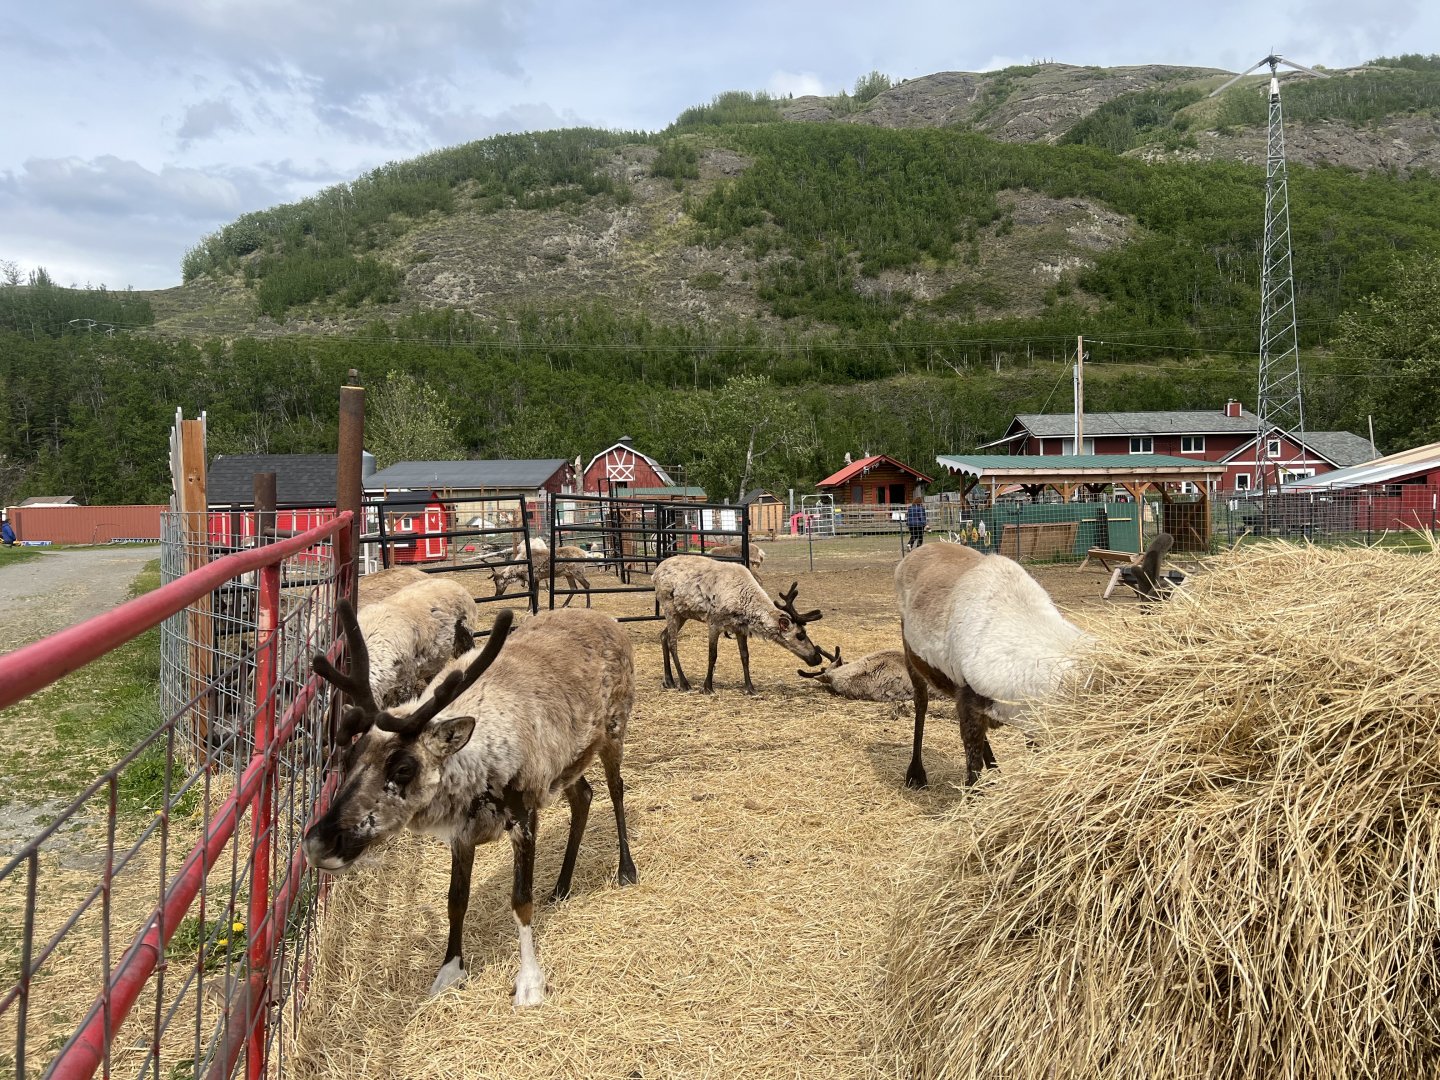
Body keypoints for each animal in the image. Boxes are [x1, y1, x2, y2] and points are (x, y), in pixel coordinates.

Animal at [307, 600, 638, 1007]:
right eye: (350, 757)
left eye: (403, 768)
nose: (318, 843)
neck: (476, 766)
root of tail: (609, 620)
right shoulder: (462, 834)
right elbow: (456, 900)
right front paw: (450, 970)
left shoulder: (524, 816)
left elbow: (520, 900)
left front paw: (530, 983)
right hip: (570, 762)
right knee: (584, 797)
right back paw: (561, 887)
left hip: (614, 730)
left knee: (617, 789)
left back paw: (626, 870)